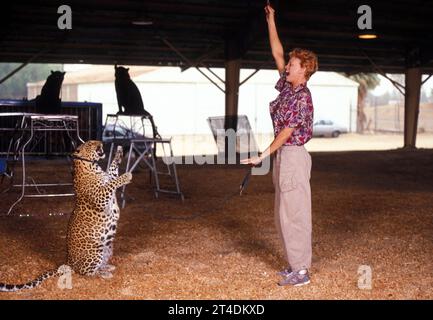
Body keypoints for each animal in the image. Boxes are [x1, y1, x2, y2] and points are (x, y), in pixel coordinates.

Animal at [0, 141, 132, 292]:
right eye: (91, 143)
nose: (101, 143)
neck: (92, 166)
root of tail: (68, 262)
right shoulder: (100, 197)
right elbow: (111, 183)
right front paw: (126, 176)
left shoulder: (109, 177)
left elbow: (112, 170)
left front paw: (119, 152)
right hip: (96, 250)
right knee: (85, 272)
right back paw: (104, 274)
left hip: (108, 247)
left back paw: (107, 267)